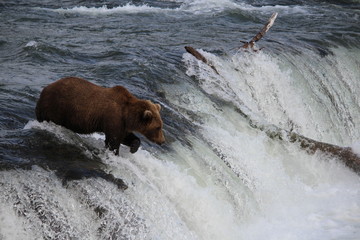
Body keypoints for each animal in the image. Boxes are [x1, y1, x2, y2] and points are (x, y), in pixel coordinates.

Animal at [35, 77, 165, 156]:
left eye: (161, 125)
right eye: (158, 127)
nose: (162, 141)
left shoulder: (122, 124)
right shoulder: (113, 118)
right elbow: (113, 141)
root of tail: (44, 89)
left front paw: (133, 147)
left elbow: (126, 137)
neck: (128, 115)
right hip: (56, 108)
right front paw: (115, 153)